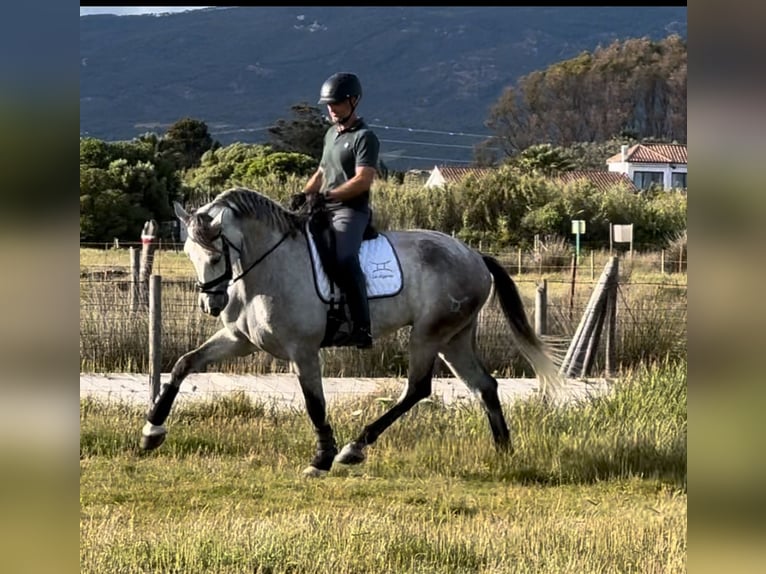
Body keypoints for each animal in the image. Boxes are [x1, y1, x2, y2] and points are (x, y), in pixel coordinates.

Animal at [140, 186, 564, 476]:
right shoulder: (239, 341)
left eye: (215, 256)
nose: (210, 306)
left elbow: (315, 402)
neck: (268, 267)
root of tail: (474, 255)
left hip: (428, 334)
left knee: (418, 389)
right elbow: (183, 365)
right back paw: (504, 451)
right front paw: (151, 431)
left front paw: (322, 459)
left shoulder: (303, 350)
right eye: (188, 255)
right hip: (454, 338)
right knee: (484, 385)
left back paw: (354, 448)